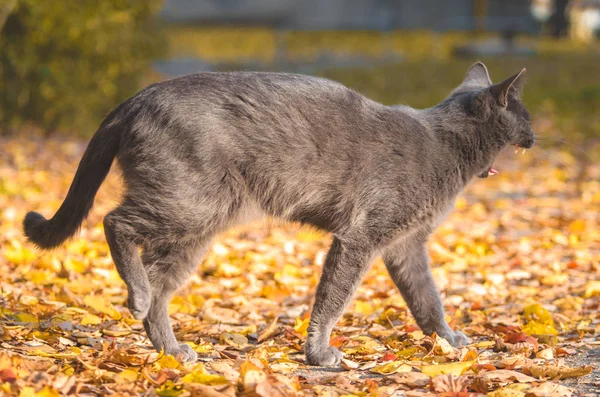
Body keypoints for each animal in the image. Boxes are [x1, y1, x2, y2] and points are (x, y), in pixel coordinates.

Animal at [23, 61, 536, 366]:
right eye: (525, 114)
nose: (536, 134)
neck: (448, 146)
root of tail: (132, 101)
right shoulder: (362, 237)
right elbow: (335, 296)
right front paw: (319, 352)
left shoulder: (406, 244)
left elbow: (427, 298)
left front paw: (448, 339)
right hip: (190, 202)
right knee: (115, 222)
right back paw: (136, 298)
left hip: (197, 225)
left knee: (158, 282)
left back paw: (169, 344)